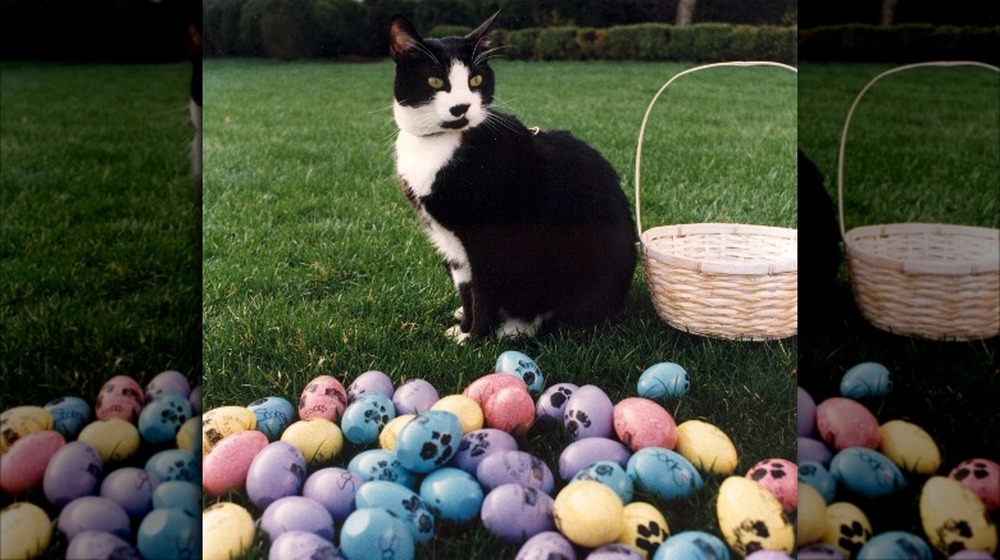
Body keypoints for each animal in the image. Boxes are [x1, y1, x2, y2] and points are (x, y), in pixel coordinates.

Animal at [388, 13, 632, 344]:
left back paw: (516, 327)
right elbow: (466, 288)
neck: (437, 145)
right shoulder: (451, 243)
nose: (461, 107)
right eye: (435, 81)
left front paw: (475, 338)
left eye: (475, 80)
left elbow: (483, 290)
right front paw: (464, 327)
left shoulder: (488, 237)